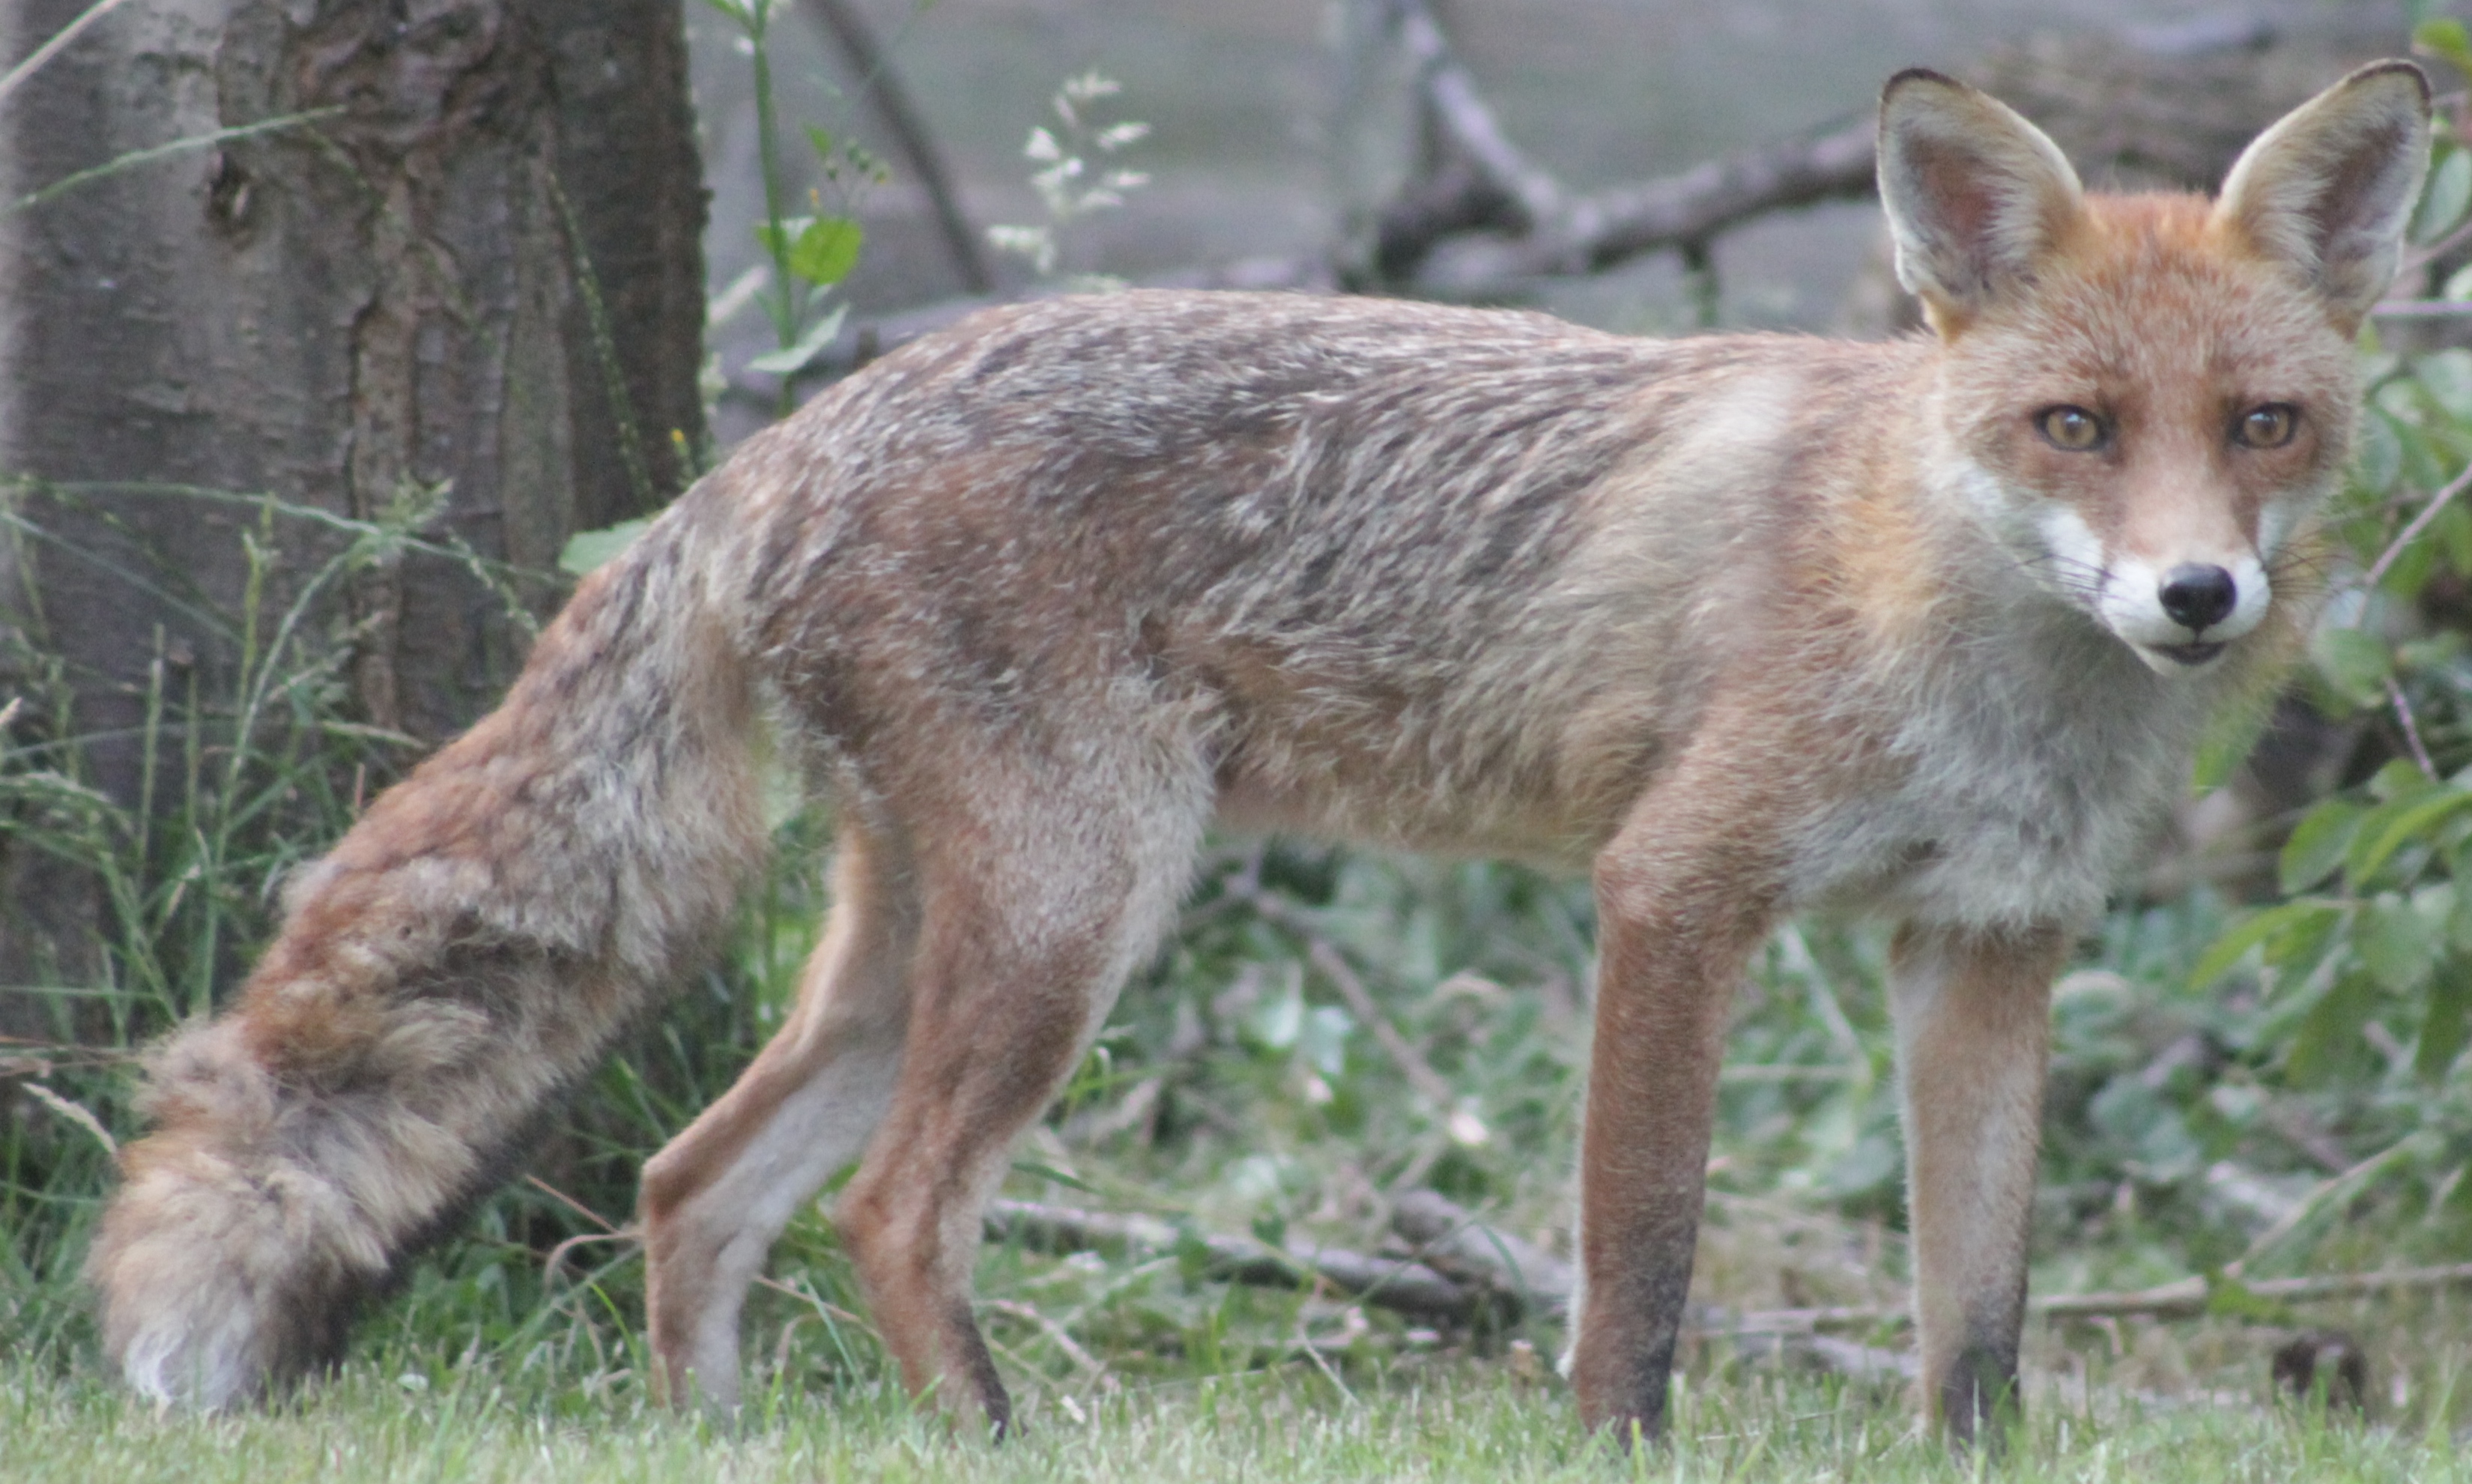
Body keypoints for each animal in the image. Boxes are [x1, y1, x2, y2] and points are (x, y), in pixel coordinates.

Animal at [86, 62, 2429, 1445]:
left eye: (2260, 426)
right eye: (2070, 427)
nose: (2194, 598)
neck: (1958, 623)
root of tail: (788, 432)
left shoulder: (1987, 950)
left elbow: (1979, 1321)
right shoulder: (1673, 888)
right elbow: (1643, 1259)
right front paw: (1613, 1443)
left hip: (920, 937)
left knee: (694, 1179)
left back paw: (719, 1439)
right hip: (1079, 912)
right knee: (892, 1210)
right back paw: (992, 1439)